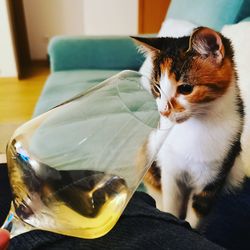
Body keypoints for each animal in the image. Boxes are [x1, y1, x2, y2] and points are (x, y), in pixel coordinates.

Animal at [132, 27, 245, 229]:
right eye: (157, 88)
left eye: (185, 88)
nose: (163, 111)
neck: (195, 126)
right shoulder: (170, 169)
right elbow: (171, 203)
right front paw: (169, 215)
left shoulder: (214, 173)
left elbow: (196, 214)